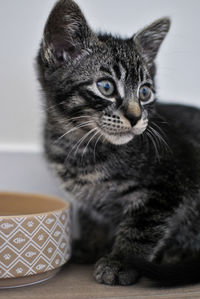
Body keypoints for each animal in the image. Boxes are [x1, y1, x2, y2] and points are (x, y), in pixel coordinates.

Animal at [36, 0, 200, 288]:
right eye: (106, 87)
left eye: (145, 92)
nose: (135, 117)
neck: (81, 148)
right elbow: (91, 217)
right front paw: (91, 244)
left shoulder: (169, 186)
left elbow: (141, 227)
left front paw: (121, 261)